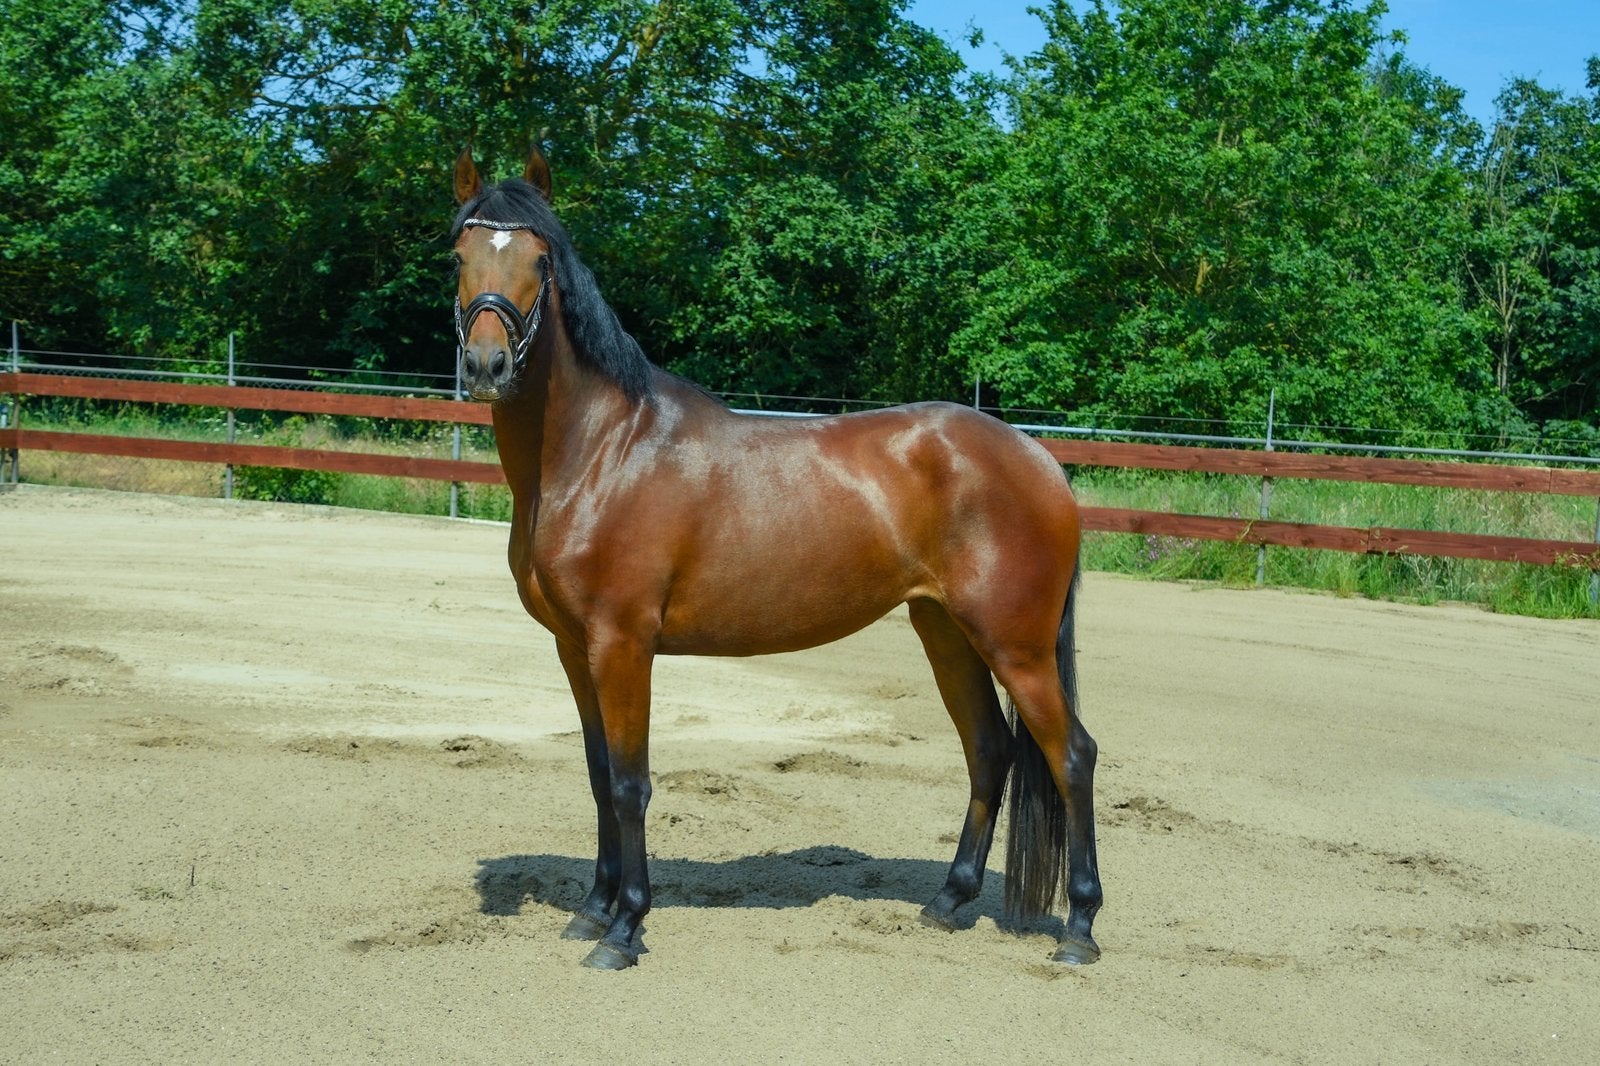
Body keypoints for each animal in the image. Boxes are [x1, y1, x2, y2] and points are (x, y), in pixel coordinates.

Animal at [450, 146, 1103, 970]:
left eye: (540, 260)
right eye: (459, 255)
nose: (487, 364)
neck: (602, 453)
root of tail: (1039, 460)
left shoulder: (623, 645)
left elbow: (631, 785)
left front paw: (625, 929)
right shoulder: (576, 648)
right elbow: (600, 776)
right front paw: (592, 911)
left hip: (1015, 644)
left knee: (1071, 756)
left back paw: (1080, 929)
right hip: (946, 632)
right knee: (990, 751)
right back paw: (948, 902)